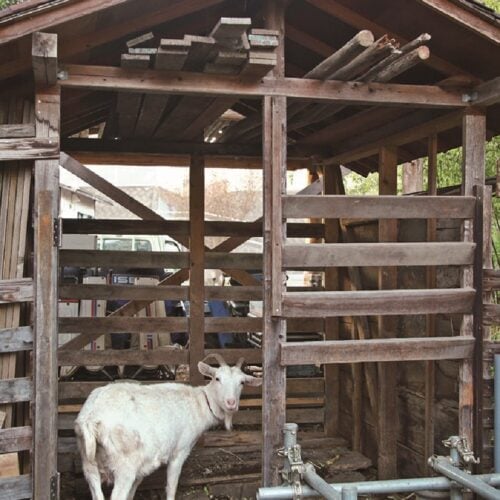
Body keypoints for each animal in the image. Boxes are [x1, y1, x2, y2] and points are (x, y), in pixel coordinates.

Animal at [75, 356, 262, 500]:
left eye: (242, 382)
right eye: (217, 378)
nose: (231, 403)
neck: (200, 403)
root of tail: (92, 418)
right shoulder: (180, 451)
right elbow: (172, 486)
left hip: (89, 463)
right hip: (124, 466)